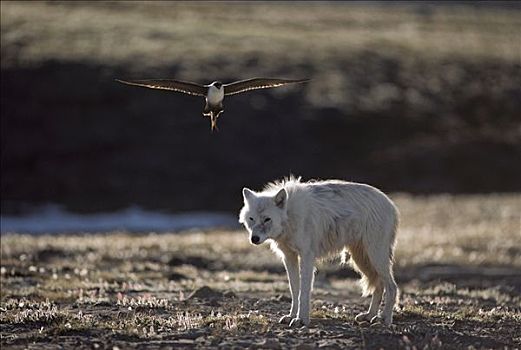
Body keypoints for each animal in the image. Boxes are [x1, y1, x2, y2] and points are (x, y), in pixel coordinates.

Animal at [239, 176, 398, 326]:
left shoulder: (307, 257)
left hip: (375, 257)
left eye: (267, 219)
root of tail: (391, 204)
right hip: (361, 260)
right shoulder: (289, 257)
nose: (254, 239)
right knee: (379, 286)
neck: (290, 215)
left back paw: (385, 319)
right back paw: (370, 316)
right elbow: (294, 290)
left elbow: (303, 292)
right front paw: (291, 316)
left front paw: (301, 320)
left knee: (392, 287)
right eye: (251, 219)